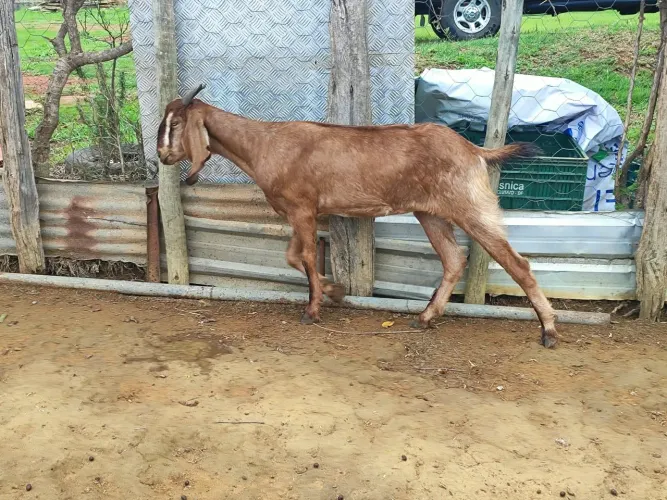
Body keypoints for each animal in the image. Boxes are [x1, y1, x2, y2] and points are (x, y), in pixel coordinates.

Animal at [157, 84, 558, 348]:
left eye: (175, 125)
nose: (162, 155)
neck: (264, 144)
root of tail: (474, 150)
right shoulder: (298, 210)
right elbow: (292, 256)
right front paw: (334, 290)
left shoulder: (302, 207)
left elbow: (304, 255)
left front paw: (313, 309)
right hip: (430, 212)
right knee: (453, 259)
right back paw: (426, 317)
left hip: (470, 206)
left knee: (516, 263)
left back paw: (549, 331)